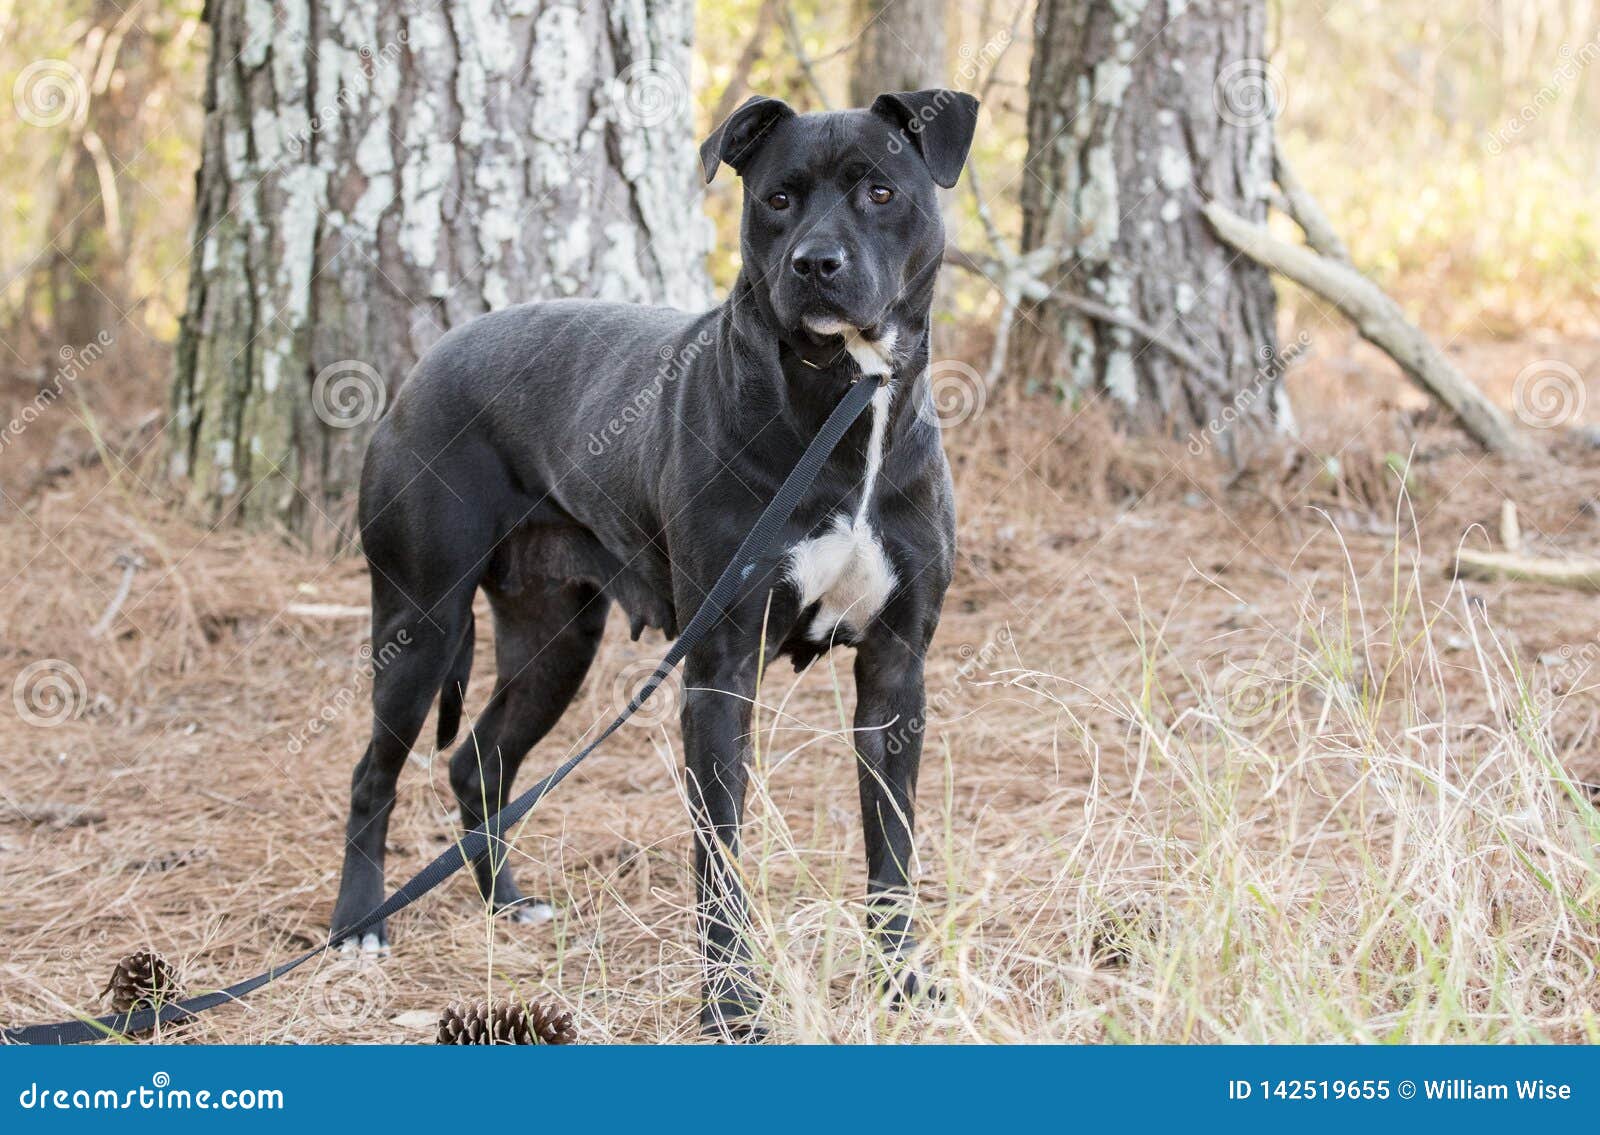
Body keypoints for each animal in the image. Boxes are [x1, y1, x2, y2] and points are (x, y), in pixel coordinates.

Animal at [328, 86, 972, 1024]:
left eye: (880, 192)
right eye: (779, 197)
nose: (815, 263)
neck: (847, 403)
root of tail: (421, 367)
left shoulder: (896, 671)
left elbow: (892, 848)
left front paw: (901, 980)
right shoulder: (720, 669)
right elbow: (720, 856)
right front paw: (733, 1001)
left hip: (555, 641)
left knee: (478, 761)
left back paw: (507, 905)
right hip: (419, 624)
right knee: (373, 773)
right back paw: (358, 925)